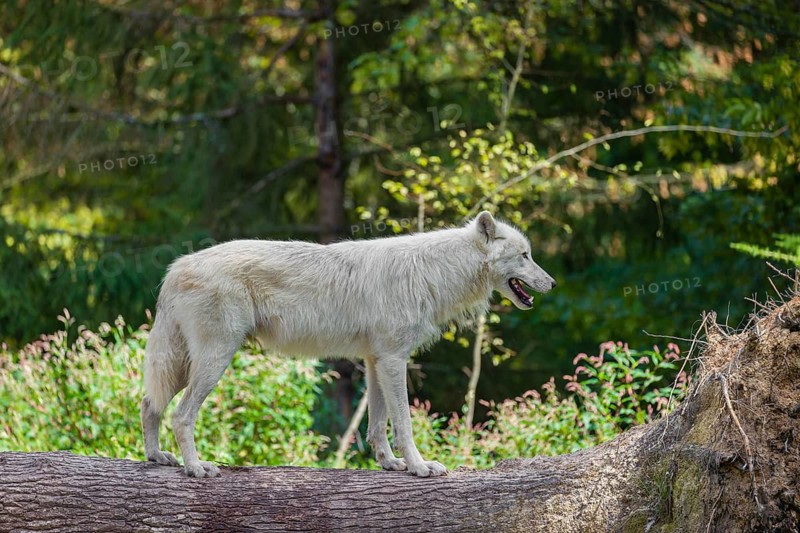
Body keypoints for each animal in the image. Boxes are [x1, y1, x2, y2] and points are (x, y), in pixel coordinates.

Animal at [141, 211, 556, 478]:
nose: (552, 283)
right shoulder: (393, 360)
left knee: (149, 404)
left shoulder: (376, 361)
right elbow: (404, 424)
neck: (436, 272)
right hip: (215, 361)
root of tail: (175, 268)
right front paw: (420, 467)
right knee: (181, 415)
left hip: (185, 365)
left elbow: (378, 425)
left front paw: (390, 464)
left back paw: (156, 457)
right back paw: (196, 467)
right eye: (525, 255)